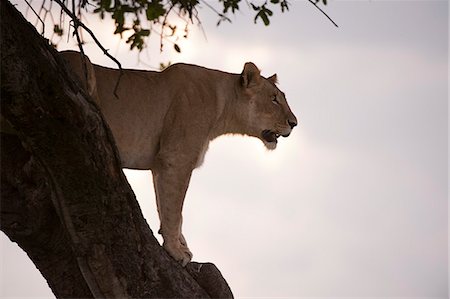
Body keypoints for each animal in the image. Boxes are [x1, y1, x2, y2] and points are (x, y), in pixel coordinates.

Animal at [60, 49, 298, 268]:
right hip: (82, 62)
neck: (223, 108)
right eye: (274, 99)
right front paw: (176, 251)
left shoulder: (159, 164)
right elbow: (174, 208)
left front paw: (180, 244)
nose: (294, 123)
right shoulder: (176, 158)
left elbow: (166, 205)